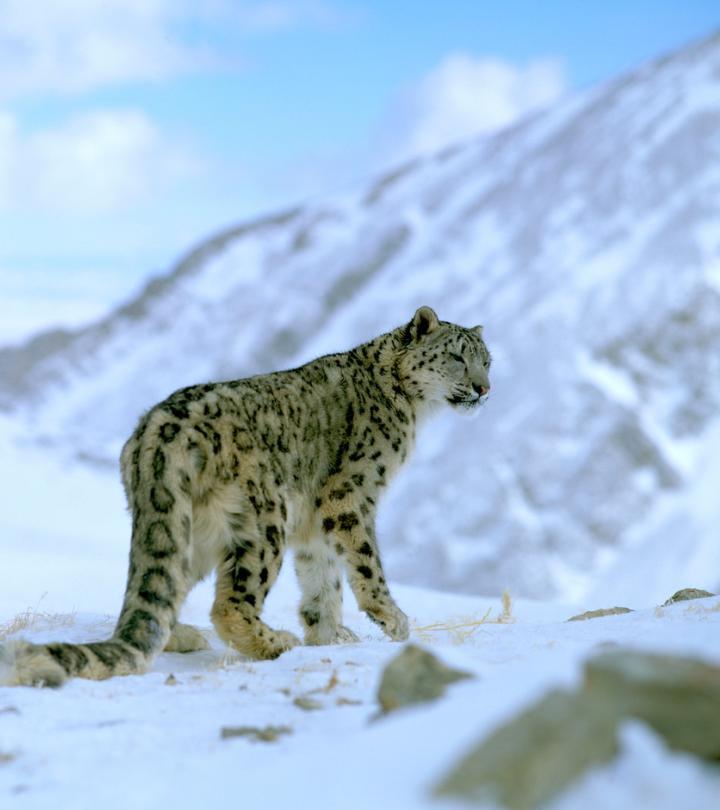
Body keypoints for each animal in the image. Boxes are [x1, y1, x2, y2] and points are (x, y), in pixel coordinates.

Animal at [0, 306, 490, 684]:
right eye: (456, 357)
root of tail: (157, 433)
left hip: (189, 529)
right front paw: (394, 621)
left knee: (163, 589)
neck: (412, 410)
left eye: (487, 361)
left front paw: (330, 634)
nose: (484, 389)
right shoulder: (351, 496)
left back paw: (182, 636)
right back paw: (274, 642)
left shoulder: (314, 520)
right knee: (230, 604)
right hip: (263, 520)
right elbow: (365, 563)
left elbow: (322, 576)